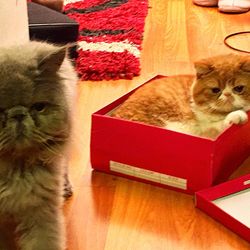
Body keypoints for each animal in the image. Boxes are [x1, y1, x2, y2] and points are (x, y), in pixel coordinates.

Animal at [113, 53, 250, 139]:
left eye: (238, 88)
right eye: (216, 90)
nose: (227, 94)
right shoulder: (202, 131)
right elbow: (220, 125)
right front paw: (238, 116)